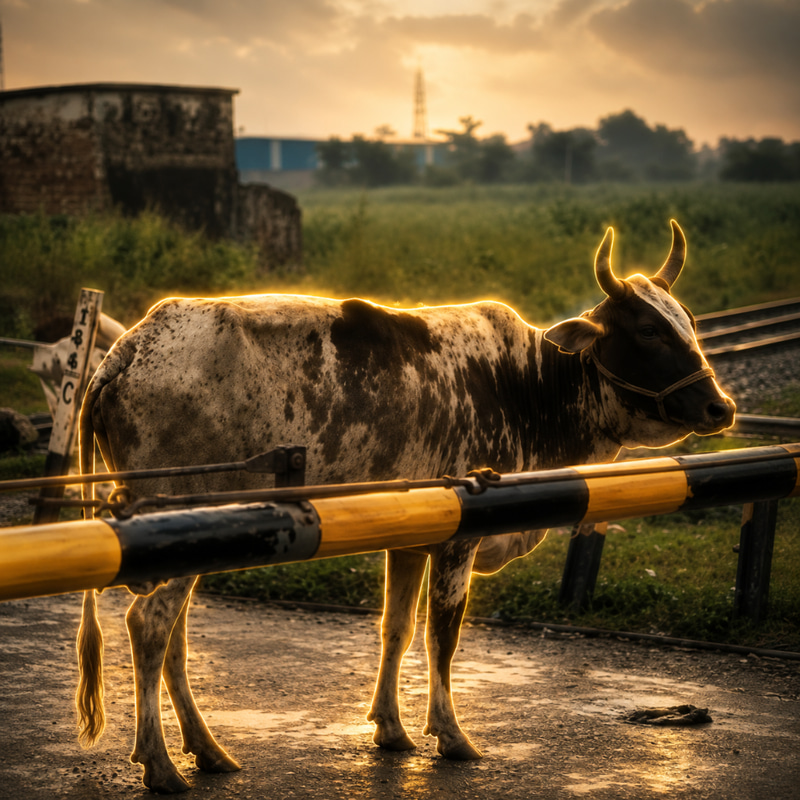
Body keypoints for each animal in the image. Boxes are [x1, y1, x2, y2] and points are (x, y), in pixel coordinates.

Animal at [75, 220, 734, 793]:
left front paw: (391, 729)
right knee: (149, 626)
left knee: (173, 636)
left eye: (688, 321)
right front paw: (451, 735)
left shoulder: (411, 539)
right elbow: (443, 636)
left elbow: (396, 628)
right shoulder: (459, 539)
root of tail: (130, 346)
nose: (720, 407)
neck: (526, 386)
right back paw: (162, 764)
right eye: (647, 331)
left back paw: (206, 749)